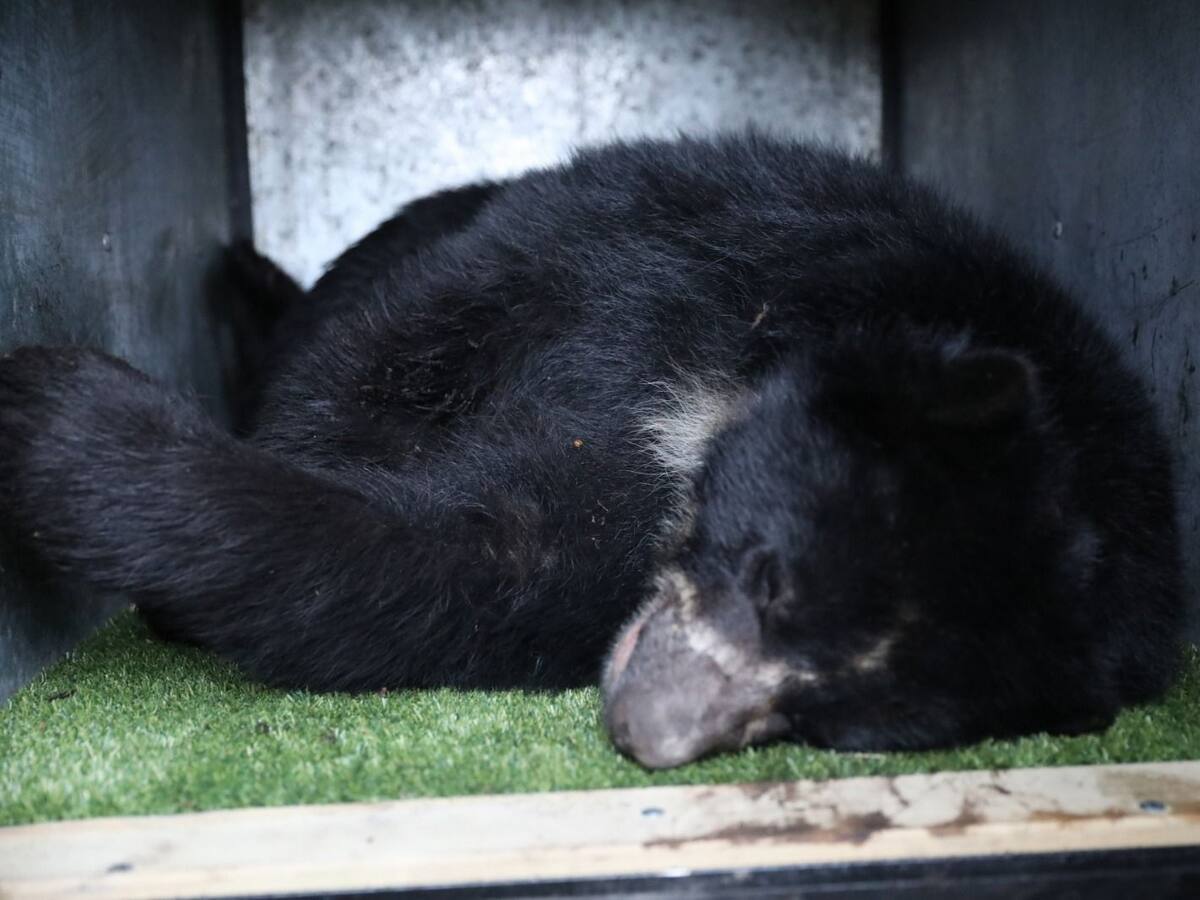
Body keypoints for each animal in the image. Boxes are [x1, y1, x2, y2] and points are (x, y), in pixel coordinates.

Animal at [0, 133, 1184, 769]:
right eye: (767, 573)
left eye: (830, 725)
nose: (641, 725)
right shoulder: (724, 236)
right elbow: (420, 335)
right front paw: (55, 402)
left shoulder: (605, 562)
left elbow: (476, 565)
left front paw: (74, 433)